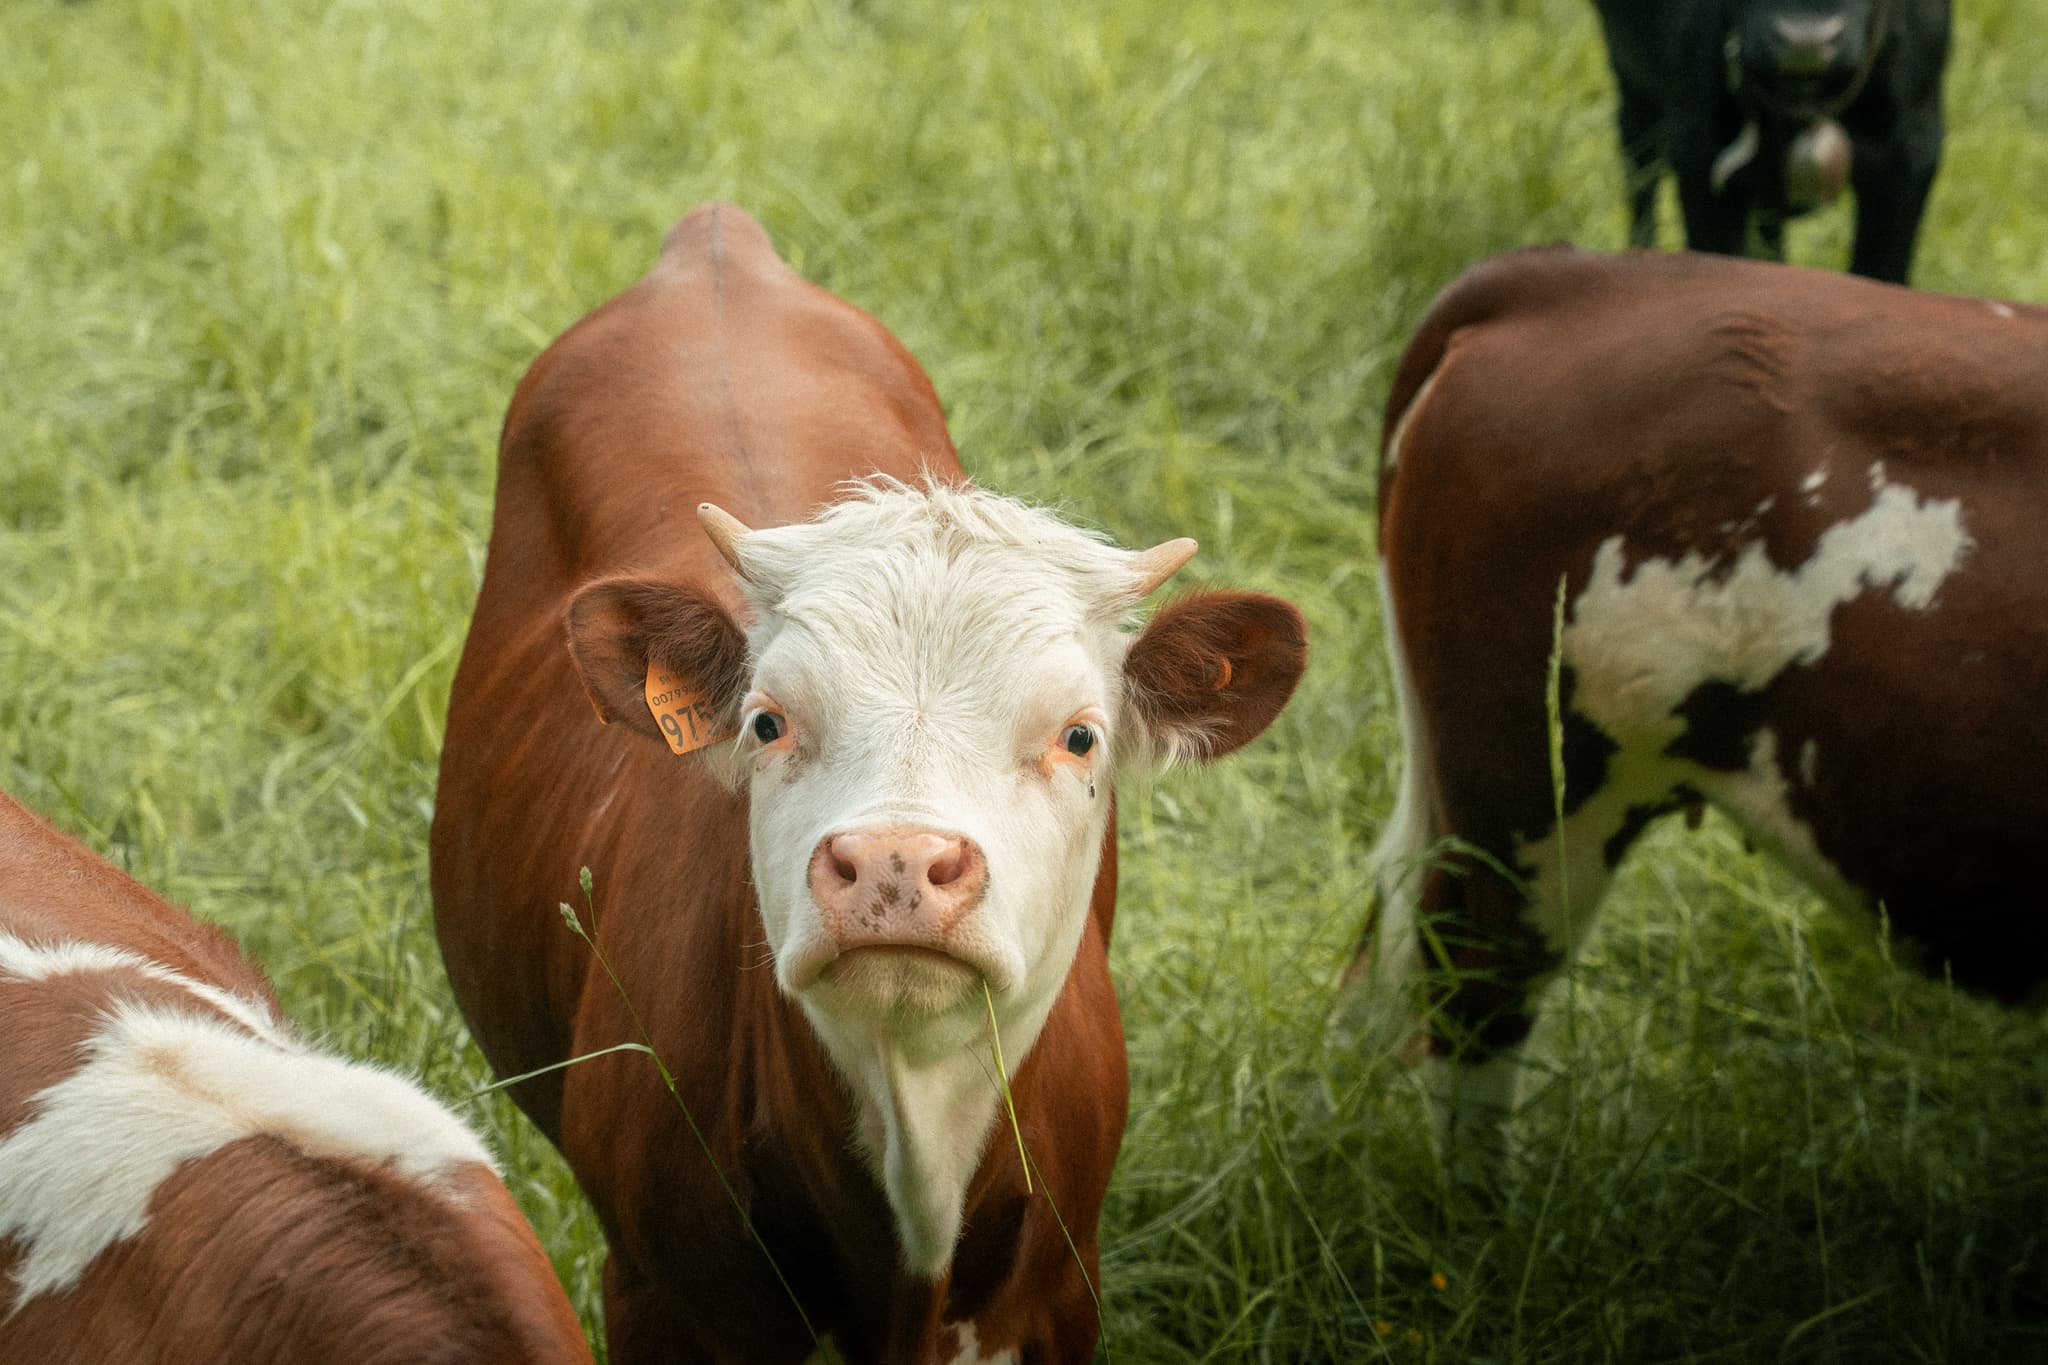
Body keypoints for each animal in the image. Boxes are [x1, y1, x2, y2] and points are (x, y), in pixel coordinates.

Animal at [429, 203, 1307, 1364]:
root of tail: (716, 241)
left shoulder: (1060, 1289)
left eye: (1079, 736)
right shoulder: (667, 1298)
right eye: (766, 721)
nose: (895, 864)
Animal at [1590, 0, 1951, 283]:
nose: (1806, 43)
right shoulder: (1699, 155)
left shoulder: (1911, 153)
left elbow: (1881, 272)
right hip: (1634, 88)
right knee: (1641, 177)